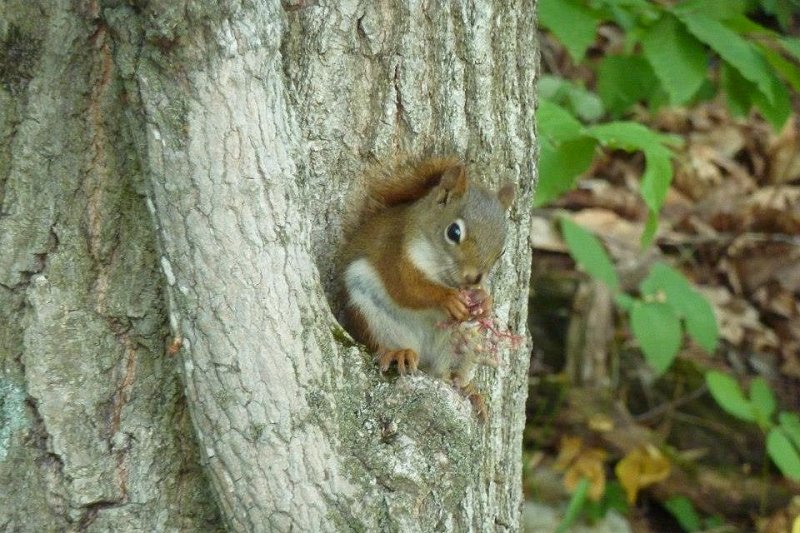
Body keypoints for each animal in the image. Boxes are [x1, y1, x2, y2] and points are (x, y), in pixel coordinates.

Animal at [340, 156, 516, 418]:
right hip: (372, 315)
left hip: (463, 341)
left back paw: (468, 389)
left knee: (446, 373)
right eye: (454, 232)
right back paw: (399, 353)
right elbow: (407, 288)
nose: (474, 278)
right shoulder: (394, 254)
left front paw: (484, 301)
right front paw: (447, 299)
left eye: (502, 250)